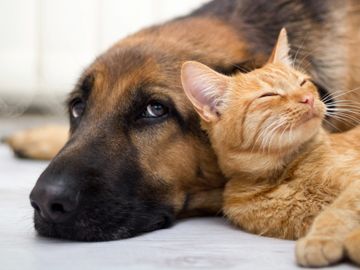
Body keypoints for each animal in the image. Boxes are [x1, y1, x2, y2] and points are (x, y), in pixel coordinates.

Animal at [181, 28, 360, 266]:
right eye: (269, 95)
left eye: (303, 83)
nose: (308, 98)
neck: (285, 174)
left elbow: (339, 209)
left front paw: (320, 240)